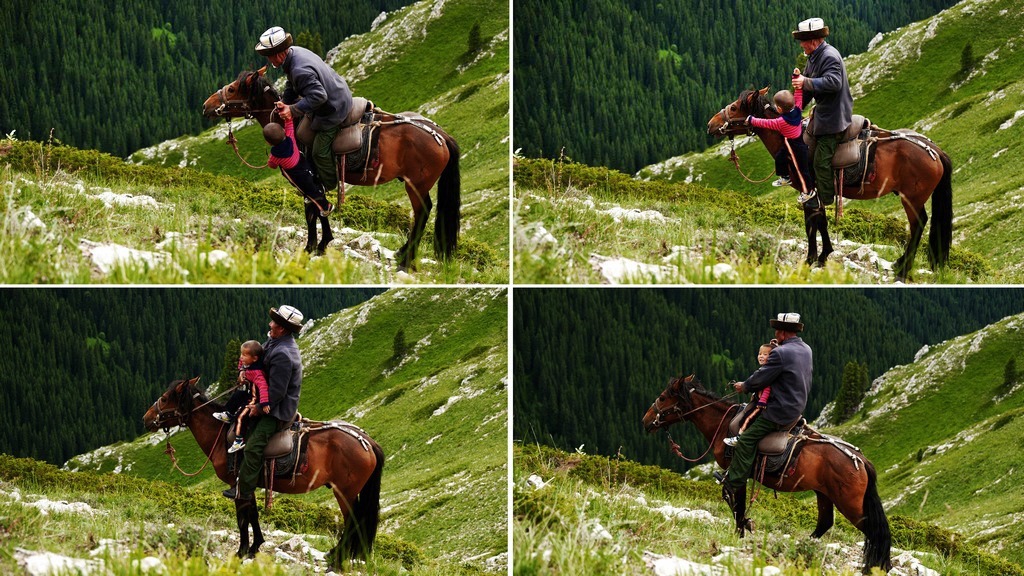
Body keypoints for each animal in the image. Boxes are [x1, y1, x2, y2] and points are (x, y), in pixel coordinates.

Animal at [141, 375, 385, 565]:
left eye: (164, 398)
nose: (146, 418)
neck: (222, 434)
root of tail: (367, 441)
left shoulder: (236, 483)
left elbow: (242, 518)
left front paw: (241, 551)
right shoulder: (247, 482)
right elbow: (253, 515)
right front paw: (255, 547)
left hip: (344, 491)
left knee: (353, 521)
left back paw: (337, 557)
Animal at [201, 67, 458, 268]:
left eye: (232, 89)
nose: (206, 106)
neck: (291, 125)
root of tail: (440, 134)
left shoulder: (308, 176)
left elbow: (314, 209)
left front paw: (315, 245)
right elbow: (317, 208)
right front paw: (322, 243)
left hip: (416, 185)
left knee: (422, 212)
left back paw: (406, 259)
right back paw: (402, 253)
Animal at [638, 375, 888, 569]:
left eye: (663, 397)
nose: (646, 420)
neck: (725, 424)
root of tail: (860, 460)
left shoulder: (736, 472)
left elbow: (736, 505)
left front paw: (740, 533)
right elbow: (735, 504)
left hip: (850, 504)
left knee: (874, 532)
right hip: (824, 494)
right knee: (824, 524)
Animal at [704, 87, 950, 280]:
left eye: (734, 108)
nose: (710, 124)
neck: (792, 140)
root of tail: (934, 150)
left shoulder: (808, 190)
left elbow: (811, 222)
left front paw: (811, 258)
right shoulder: (818, 191)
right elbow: (821, 221)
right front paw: (824, 255)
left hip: (912, 198)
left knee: (918, 224)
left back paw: (903, 269)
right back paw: (900, 264)